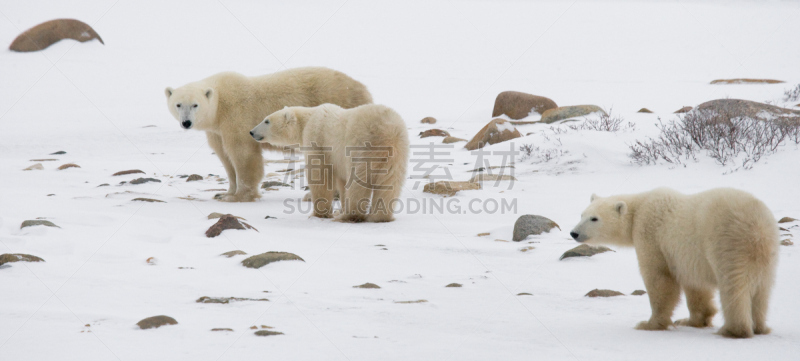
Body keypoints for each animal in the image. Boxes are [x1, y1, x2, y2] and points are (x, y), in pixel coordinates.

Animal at [165, 67, 376, 202]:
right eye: (178, 104)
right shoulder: (217, 130)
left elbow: (243, 154)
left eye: (195, 105)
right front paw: (224, 193)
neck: (220, 106)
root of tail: (364, 89)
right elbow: (225, 157)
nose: (186, 122)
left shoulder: (237, 116)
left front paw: (239, 196)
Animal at [250, 102, 410, 221]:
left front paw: (320, 213)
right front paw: (339, 208)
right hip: (397, 153)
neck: (308, 120)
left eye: (266, 120)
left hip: (361, 147)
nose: (251, 132)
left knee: (358, 182)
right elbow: (342, 181)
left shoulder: (318, 139)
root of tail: (387, 131)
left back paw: (350, 215)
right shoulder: (338, 160)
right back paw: (380, 216)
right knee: (390, 183)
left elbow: (320, 175)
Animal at [572, 186, 780, 338]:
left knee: (734, 287)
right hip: (766, 253)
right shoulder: (689, 258)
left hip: (728, 244)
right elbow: (696, 286)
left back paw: (733, 330)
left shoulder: (652, 237)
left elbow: (659, 279)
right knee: (762, 289)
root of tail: (757, 227)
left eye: (594, 218)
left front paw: (649, 324)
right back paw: (759, 327)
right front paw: (692, 321)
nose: (573, 233)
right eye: (581, 214)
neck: (638, 210)